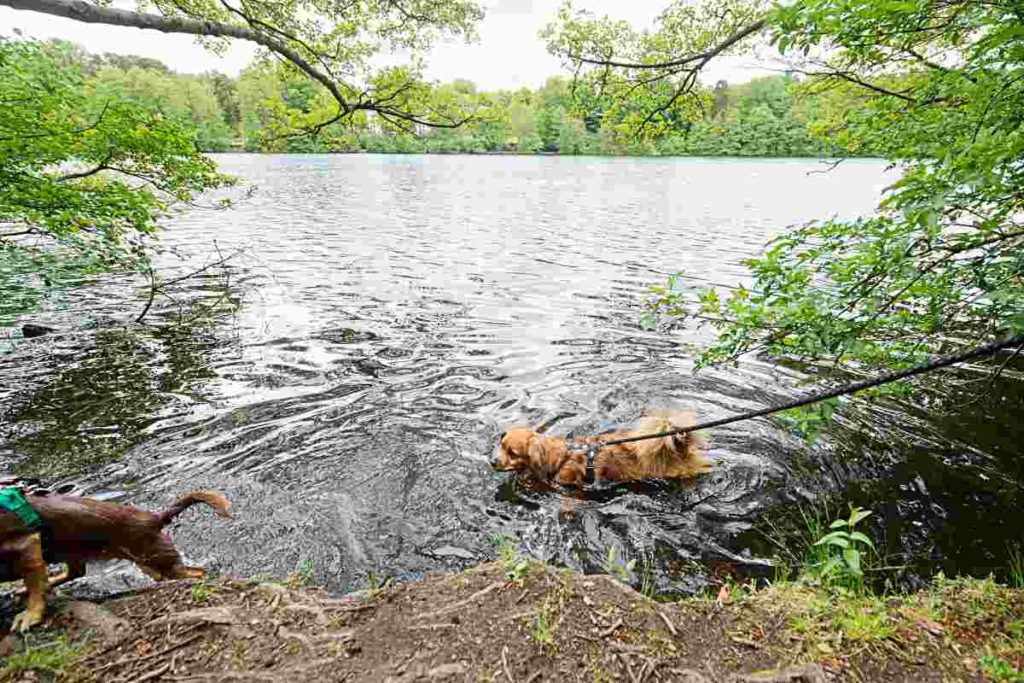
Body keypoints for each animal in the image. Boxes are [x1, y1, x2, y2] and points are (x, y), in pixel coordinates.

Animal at [0, 491, 232, 630]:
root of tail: (155, 518)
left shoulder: (27, 544)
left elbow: (35, 587)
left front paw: (30, 615)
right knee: (76, 572)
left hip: (158, 561)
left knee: (197, 573)